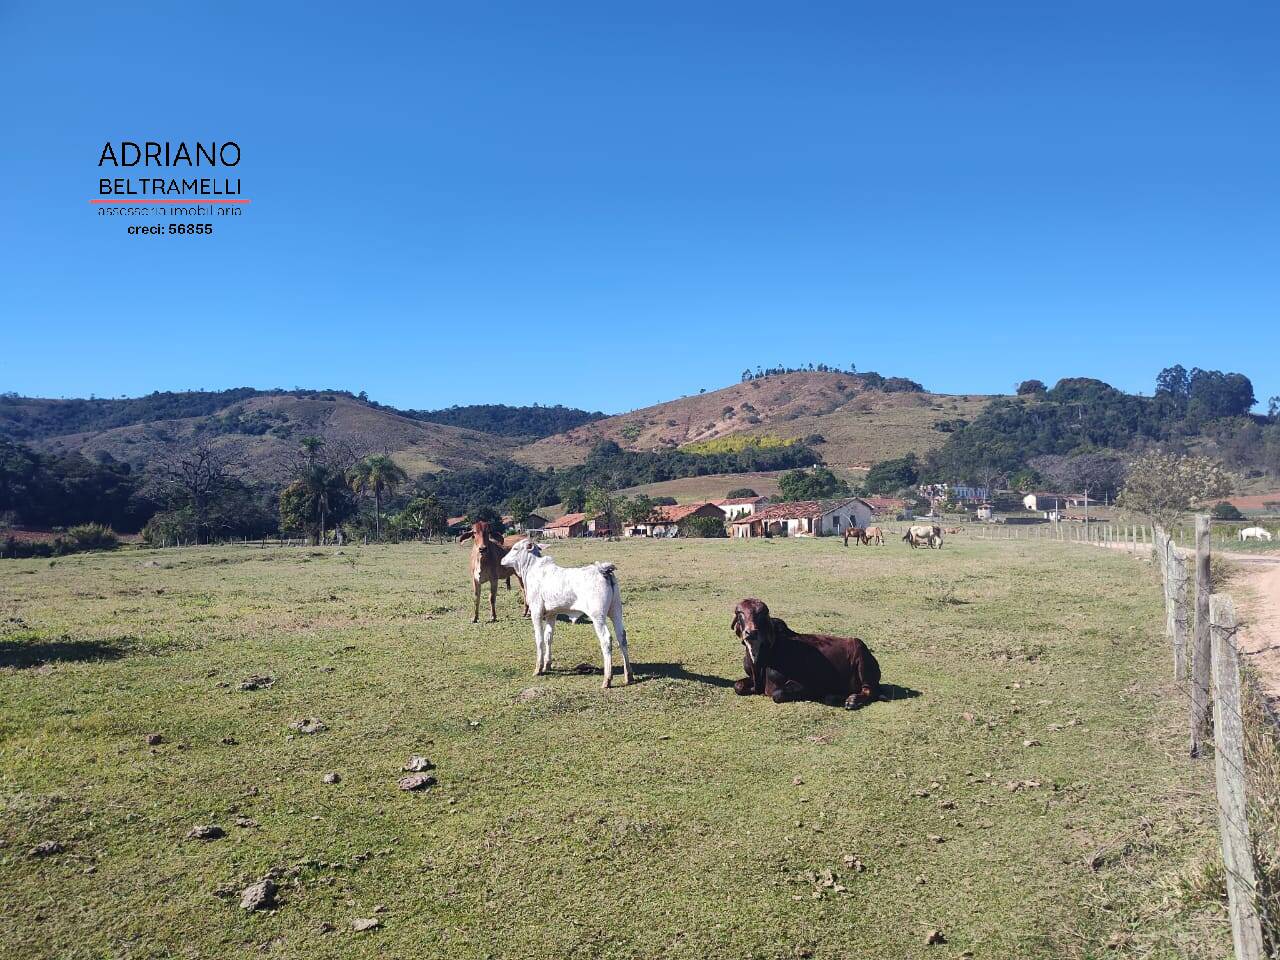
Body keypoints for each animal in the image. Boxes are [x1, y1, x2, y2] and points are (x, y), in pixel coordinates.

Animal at [504, 537, 634, 686]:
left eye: (515, 548)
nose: (502, 560)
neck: (532, 569)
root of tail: (602, 569)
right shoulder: (551, 614)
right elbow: (548, 637)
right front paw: (547, 665)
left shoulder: (536, 611)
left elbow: (539, 638)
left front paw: (538, 669)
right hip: (616, 610)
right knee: (621, 637)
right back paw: (629, 675)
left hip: (598, 616)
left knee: (606, 639)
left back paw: (607, 679)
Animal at [732, 599, 880, 711]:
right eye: (740, 614)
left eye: (760, 615)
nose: (751, 632)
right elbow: (737, 686)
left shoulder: (808, 685)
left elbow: (777, 694)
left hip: (862, 660)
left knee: (869, 691)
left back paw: (851, 700)